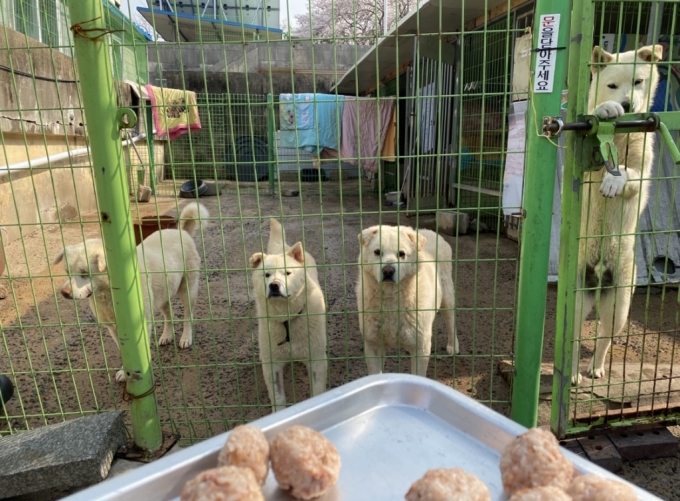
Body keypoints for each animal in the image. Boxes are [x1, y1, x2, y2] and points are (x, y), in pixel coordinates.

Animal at [250, 219, 326, 410]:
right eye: (266, 275)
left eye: (288, 273)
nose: (274, 285)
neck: (287, 318)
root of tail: (283, 247)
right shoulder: (273, 366)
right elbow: (278, 397)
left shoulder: (317, 359)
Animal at [356, 226, 456, 376]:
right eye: (377, 252)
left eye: (402, 254)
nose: (388, 271)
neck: (391, 301)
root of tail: (429, 231)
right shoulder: (373, 346)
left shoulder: (421, 349)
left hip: (447, 298)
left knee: (451, 321)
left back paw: (453, 346)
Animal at [572, 45, 660, 384]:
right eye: (612, 85)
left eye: (638, 81)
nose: (626, 104)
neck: (620, 137)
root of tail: (599, 276)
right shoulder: (582, 166)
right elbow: (594, 114)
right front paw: (606, 109)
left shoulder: (643, 173)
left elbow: (628, 173)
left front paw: (614, 180)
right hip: (575, 299)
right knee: (572, 340)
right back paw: (572, 373)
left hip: (619, 307)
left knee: (603, 339)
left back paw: (595, 368)